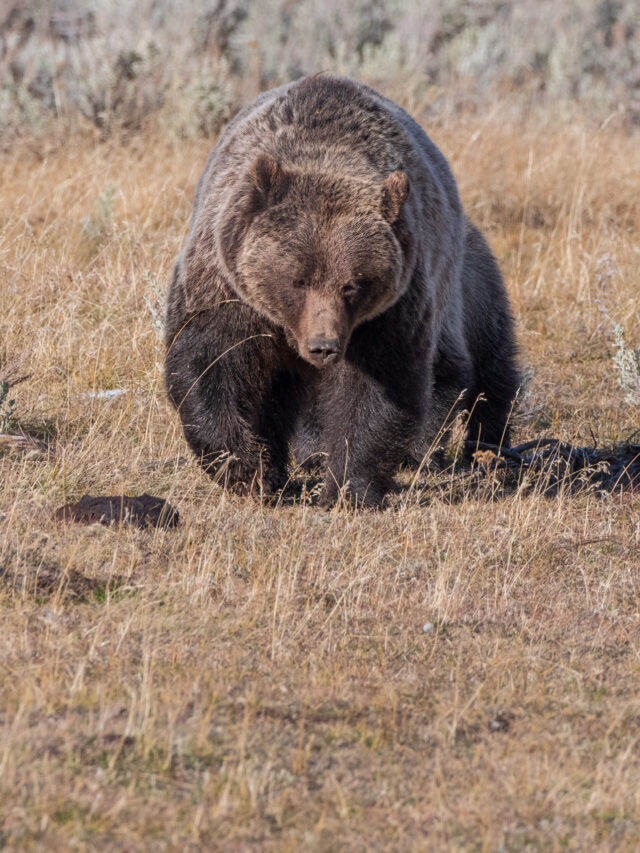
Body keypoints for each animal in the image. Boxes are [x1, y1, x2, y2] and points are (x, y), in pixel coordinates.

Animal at [165, 74, 519, 507]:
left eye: (352, 284)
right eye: (298, 279)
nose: (324, 346)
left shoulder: (390, 309)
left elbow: (377, 389)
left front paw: (349, 485)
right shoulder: (227, 288)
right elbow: (209, 361)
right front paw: (247, 467)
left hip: (464, 289)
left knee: (487, 374)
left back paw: (484, 449)